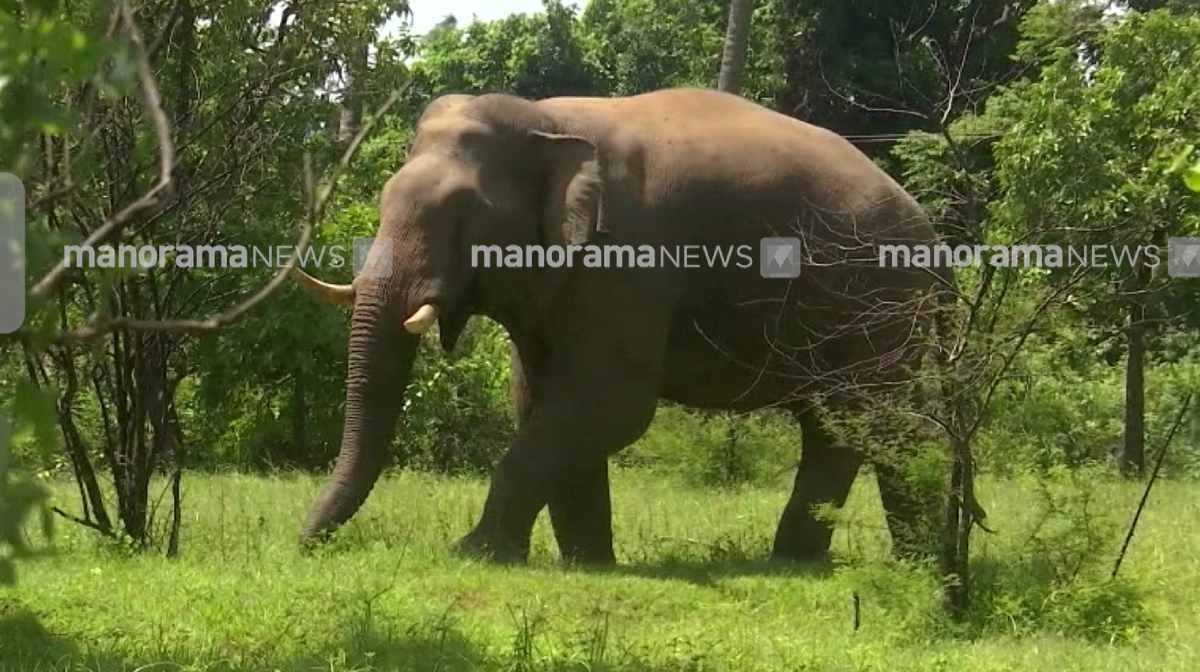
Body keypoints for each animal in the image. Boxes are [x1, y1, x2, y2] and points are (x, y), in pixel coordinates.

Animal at [293, 87, 948, 565]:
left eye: (463, 211)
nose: (301, 545)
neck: (546, 119)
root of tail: (934, 236)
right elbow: (543, 401)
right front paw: (585, 564)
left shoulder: (628, 262)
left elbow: (610, 406)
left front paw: (473, 554)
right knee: (852, 426)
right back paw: (849, 564)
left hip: (875, 302)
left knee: (858, 419)